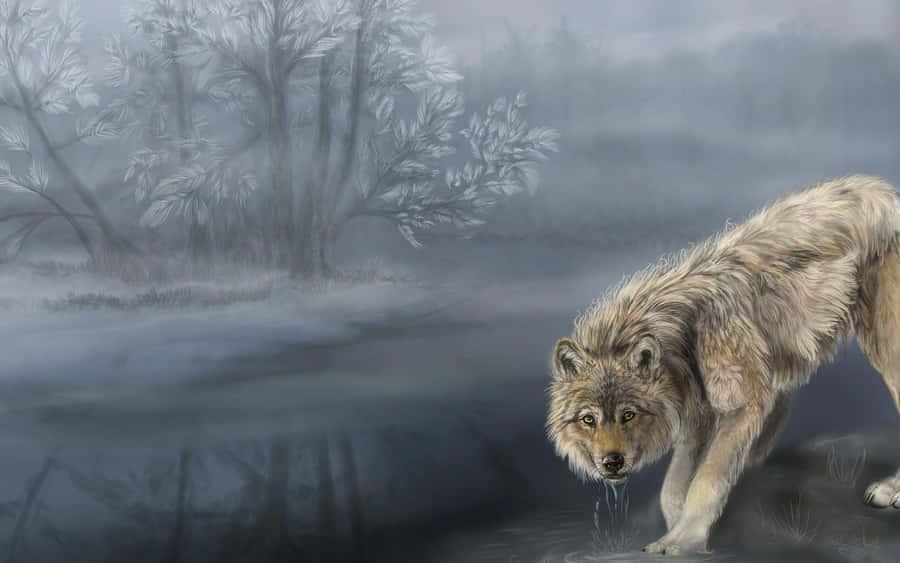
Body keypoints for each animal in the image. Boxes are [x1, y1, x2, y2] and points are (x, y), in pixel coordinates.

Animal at [546, 175, 900, 555]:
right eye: (588, 419)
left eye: (628, 414)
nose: (612, 462)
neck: (681, 336)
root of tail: (885, 193)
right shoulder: (698, 412)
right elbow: (672, 487)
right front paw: (674, 527)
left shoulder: (741, 405)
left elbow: (706, 480)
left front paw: (684, 540)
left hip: (885, 351)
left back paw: (890, 490)